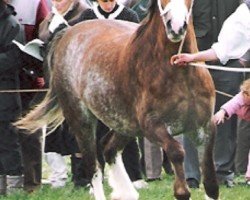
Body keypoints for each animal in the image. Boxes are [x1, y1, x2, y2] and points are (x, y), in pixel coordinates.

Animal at [15, 0, 219, 200]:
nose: (176, 27)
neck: (180, 73)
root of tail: (67, 34)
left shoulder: (204, 127)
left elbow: (211, 183)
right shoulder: (152, 126)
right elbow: (177, 153)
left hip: (125, 124)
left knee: (108, 148)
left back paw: (127, 192)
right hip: (81, 119)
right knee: (93, 166)